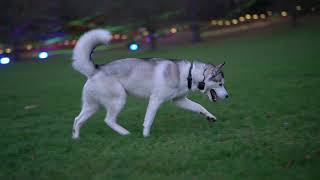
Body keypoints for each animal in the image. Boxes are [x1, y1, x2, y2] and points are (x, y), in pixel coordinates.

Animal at [71, 29, 229, 139]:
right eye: (221, 84)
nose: (228, 96)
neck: (188, 74)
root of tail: (95, 69)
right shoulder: (155, 99)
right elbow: (149, 120)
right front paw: (146, 136)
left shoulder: (178, 100)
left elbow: (199, 106)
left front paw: (209, 116)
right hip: (119, 99)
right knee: (108, 120)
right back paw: (125, 133)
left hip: (92, 106)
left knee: (77, 119)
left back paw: (76, 138)